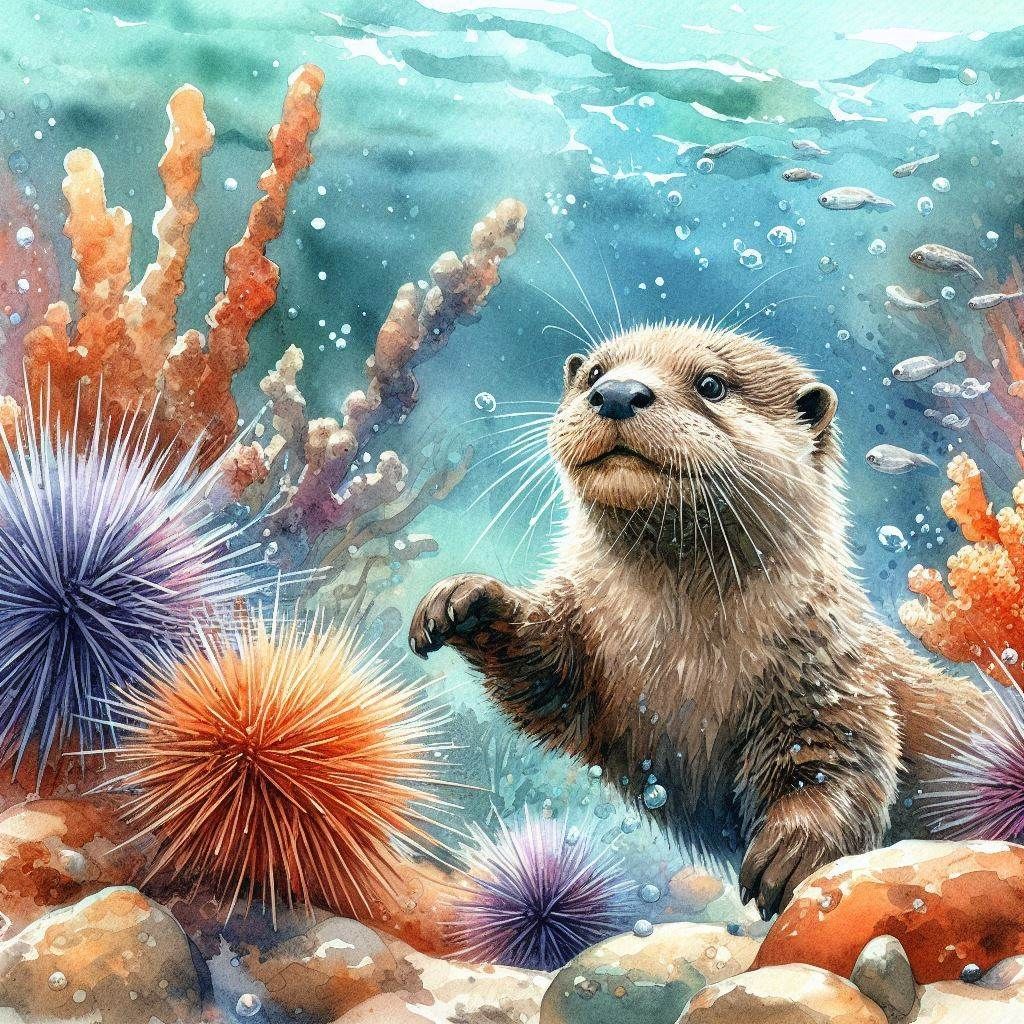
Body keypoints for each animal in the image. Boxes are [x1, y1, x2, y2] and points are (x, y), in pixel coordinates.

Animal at [409, 322, 983, 919]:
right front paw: (468, 599)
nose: (617, 393)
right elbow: (545, 675)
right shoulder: (587, 642)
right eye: (594, 372)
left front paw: (793, 848)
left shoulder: (829, 668)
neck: (682, 656)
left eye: (711, 384)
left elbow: (849, 751)